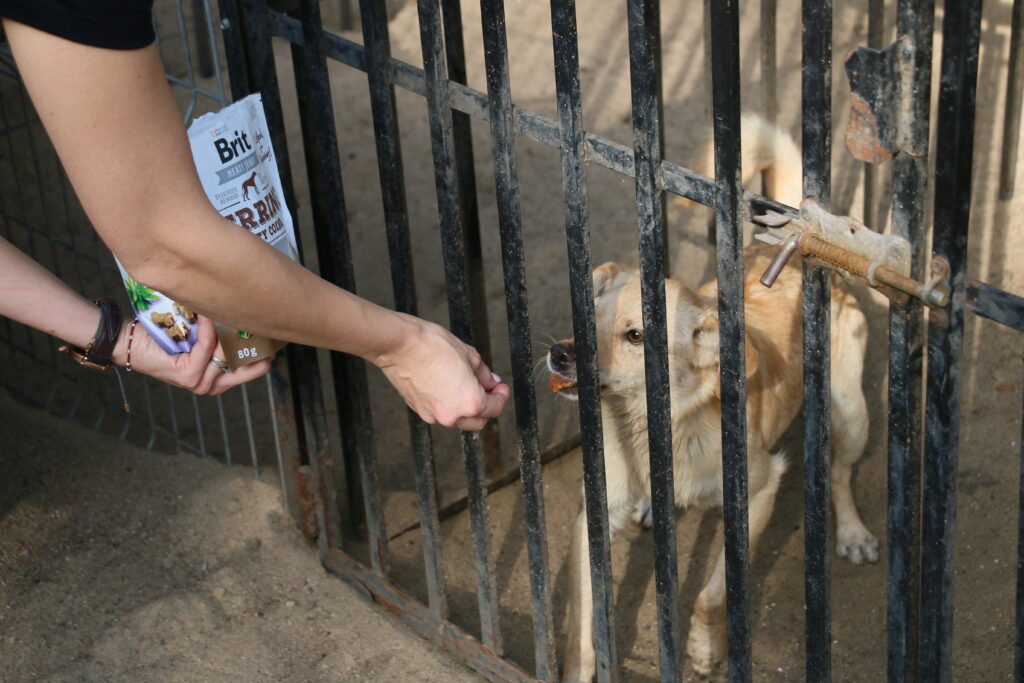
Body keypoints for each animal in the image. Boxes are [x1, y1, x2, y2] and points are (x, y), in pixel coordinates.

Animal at [548, 117, 876, 679]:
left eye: (635, 336)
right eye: (588, 318)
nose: (558, 354)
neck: (656, 427)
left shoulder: (758, 494)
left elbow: (709, 597)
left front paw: (704, 652)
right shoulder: (593, 519)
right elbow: (582, 632)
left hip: (853, 416)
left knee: (838, 472)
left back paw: (851, 531)